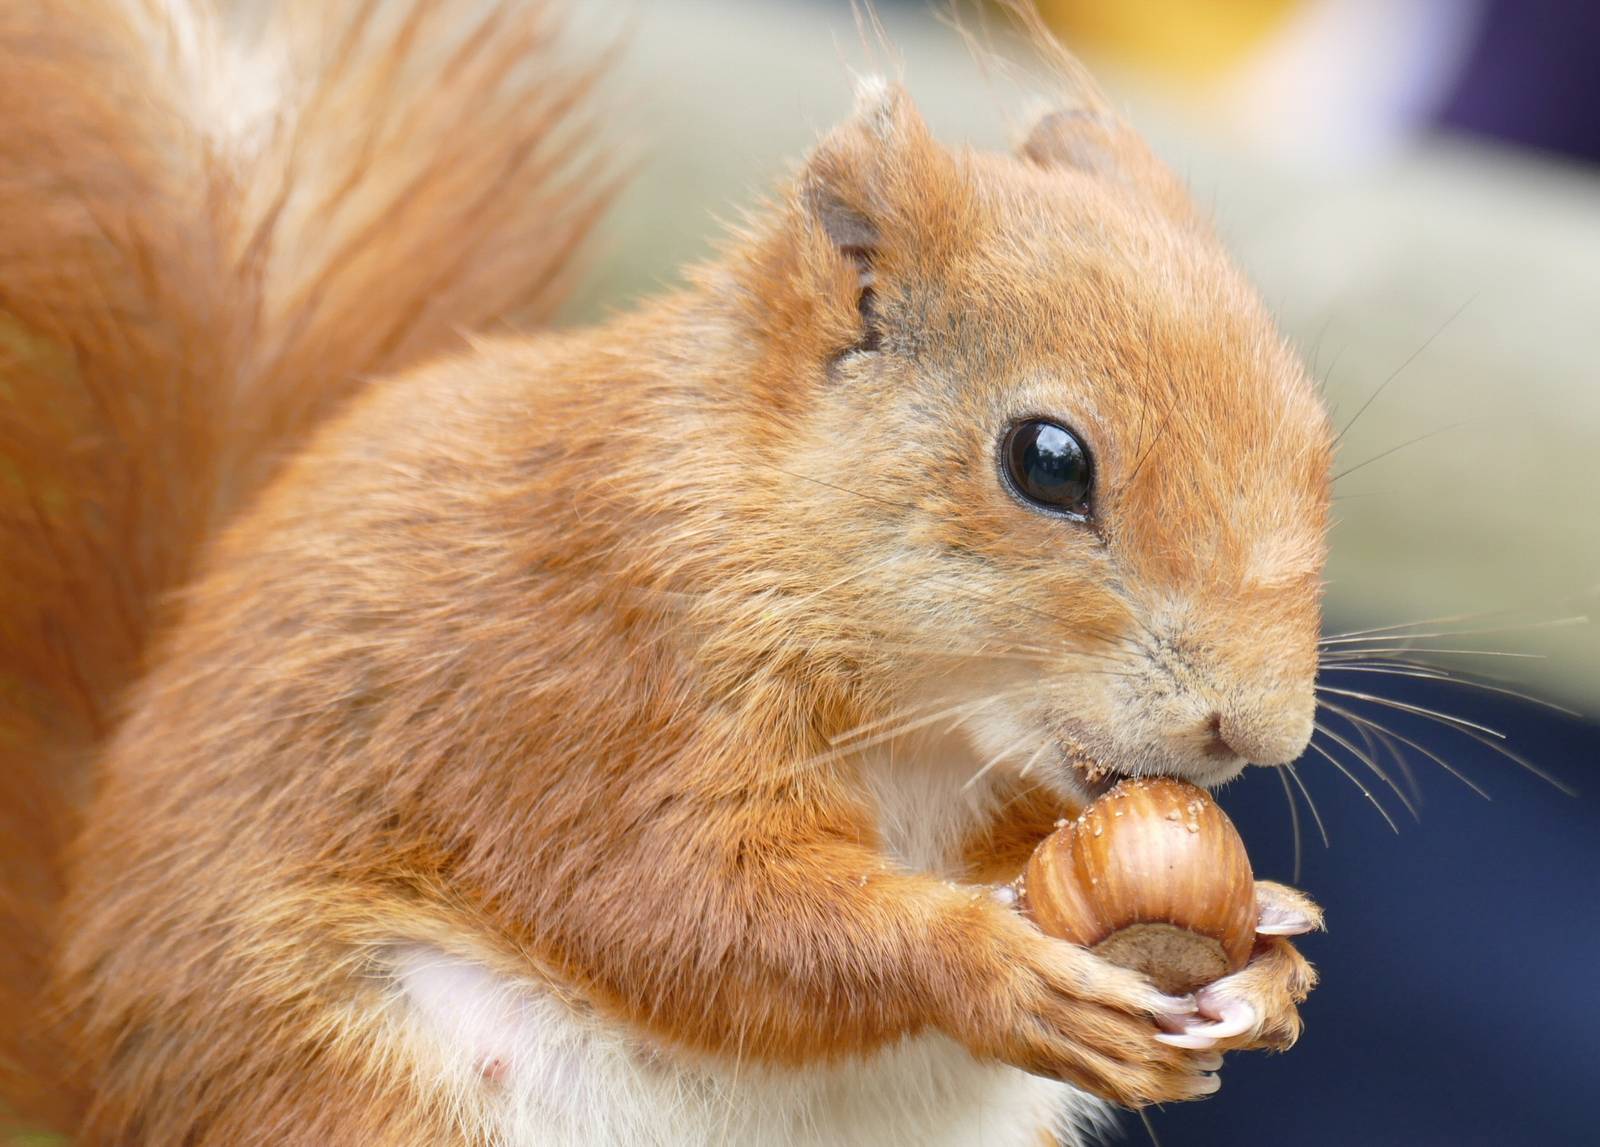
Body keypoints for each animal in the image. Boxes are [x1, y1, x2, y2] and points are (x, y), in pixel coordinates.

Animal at [0, 1, 1330, 1144]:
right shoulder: (600, 666)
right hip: (360, 1097)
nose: (1255, 730)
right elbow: (680, 902)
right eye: (1047, 462)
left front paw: (1269, 951)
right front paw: (988, 964)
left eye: (1318, 438)